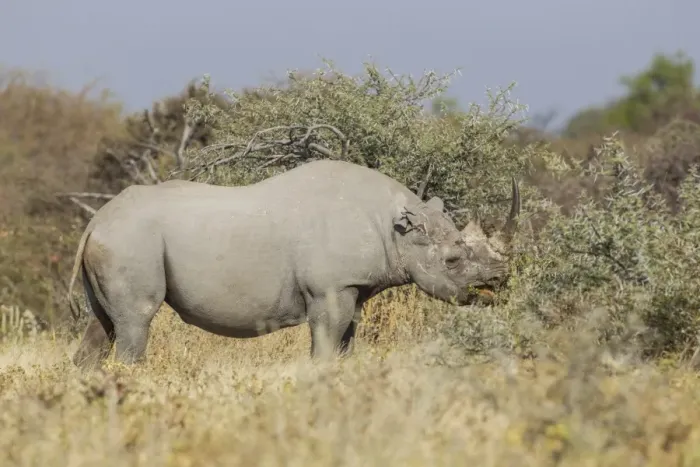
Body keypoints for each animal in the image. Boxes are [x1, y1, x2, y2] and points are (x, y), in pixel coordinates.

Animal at [67, 159, 520, 368]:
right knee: (136, 321)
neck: (394, 228)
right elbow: (325, 346)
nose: (498, 283)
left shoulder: (351, 288)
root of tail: (95, 221)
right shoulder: (331, 289)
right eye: (453, 259)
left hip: (117, 240)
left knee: (104, 324)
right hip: (130, 241)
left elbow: (345, 344)